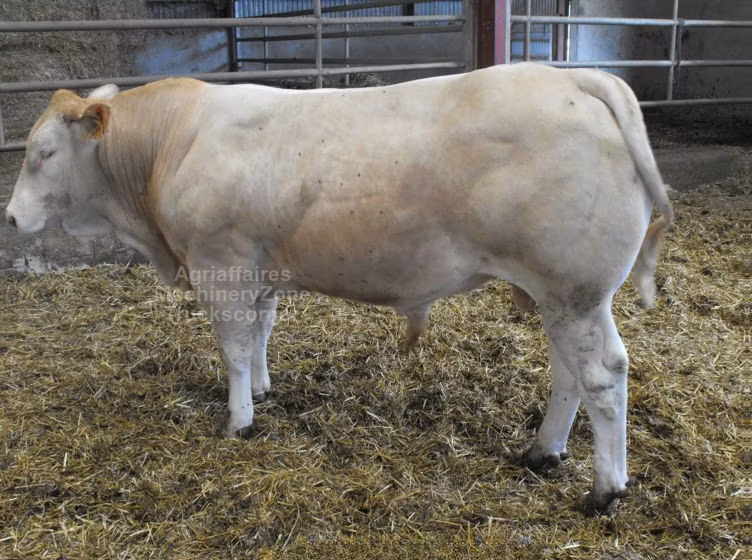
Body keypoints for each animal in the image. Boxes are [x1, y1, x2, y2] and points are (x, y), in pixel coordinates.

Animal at [5, 63, 672, 512]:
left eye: (43, 152)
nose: (10, 218)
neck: (172, 143)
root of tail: (573, 75)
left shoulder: (221, 267)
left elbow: (234, 348)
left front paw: (239, 420)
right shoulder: (261, 269)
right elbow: (262, 332)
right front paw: (265, 390)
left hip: (575, 291)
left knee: (603, 375)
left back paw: (605, 490)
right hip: (559, 295)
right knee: (569, 373)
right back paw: (543, 453)